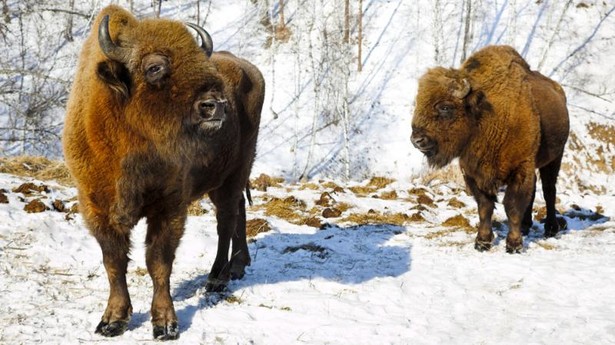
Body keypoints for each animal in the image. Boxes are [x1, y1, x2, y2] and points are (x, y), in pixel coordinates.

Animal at [62, 4, 264, 338]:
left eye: (199, 60)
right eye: (155, 67)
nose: (216, 105)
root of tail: (249, 68)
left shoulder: (169, 206)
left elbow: (158, 262)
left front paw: (165, 324)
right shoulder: (97, 208)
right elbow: (114, 262)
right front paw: (112, 320)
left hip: (237, 170)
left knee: (226, 220)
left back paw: (217, 278)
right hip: (225, 178)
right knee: (237, 212)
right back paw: (237, 267)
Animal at [412, 45, 572, 253]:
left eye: (445, 107)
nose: (417, 139)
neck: (485, 116)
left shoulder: (521, 167)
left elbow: (512, 206)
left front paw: (514, 244)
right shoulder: (472, 173)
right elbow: (485, 206)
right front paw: (482, 242)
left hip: (555, 157)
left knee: (548, 190)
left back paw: (551, 228)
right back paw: (526, 226)